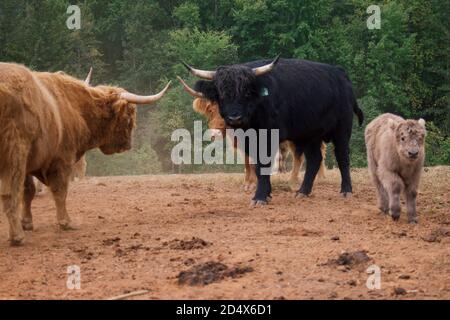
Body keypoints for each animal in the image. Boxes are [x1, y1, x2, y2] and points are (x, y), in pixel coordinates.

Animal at [0, 63, 171, 246]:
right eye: (128, 117)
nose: (128, 145)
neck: (76, 107)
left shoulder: (30, 164)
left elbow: (28, 191)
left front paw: (27, 223)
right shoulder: (61, 159)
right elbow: (59, 191)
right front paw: (66, 222)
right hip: (13, 156)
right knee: (10, 194)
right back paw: (17, 237)